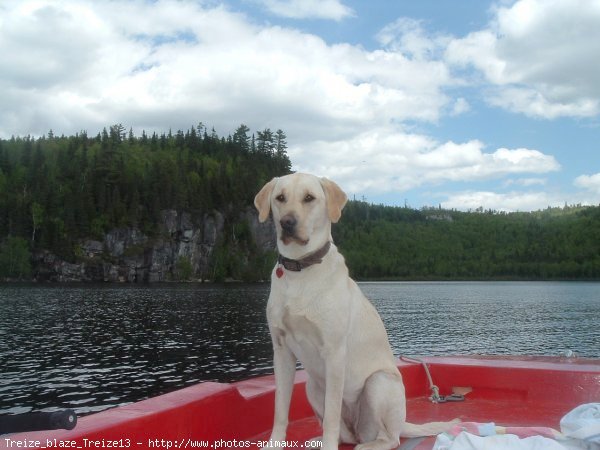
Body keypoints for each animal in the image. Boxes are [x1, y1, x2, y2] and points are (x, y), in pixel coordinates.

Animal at [253, 173, 454, 450]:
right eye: (280, 198)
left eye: (309, 198)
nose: (287, 223)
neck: (301, 270)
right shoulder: (281, 351)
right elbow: (280, 410)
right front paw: (275, 443)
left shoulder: (334, 353)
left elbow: (331, 416)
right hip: (313, 386)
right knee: (345, 434)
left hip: (378, 383)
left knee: (389, 438)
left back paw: (366, 444)